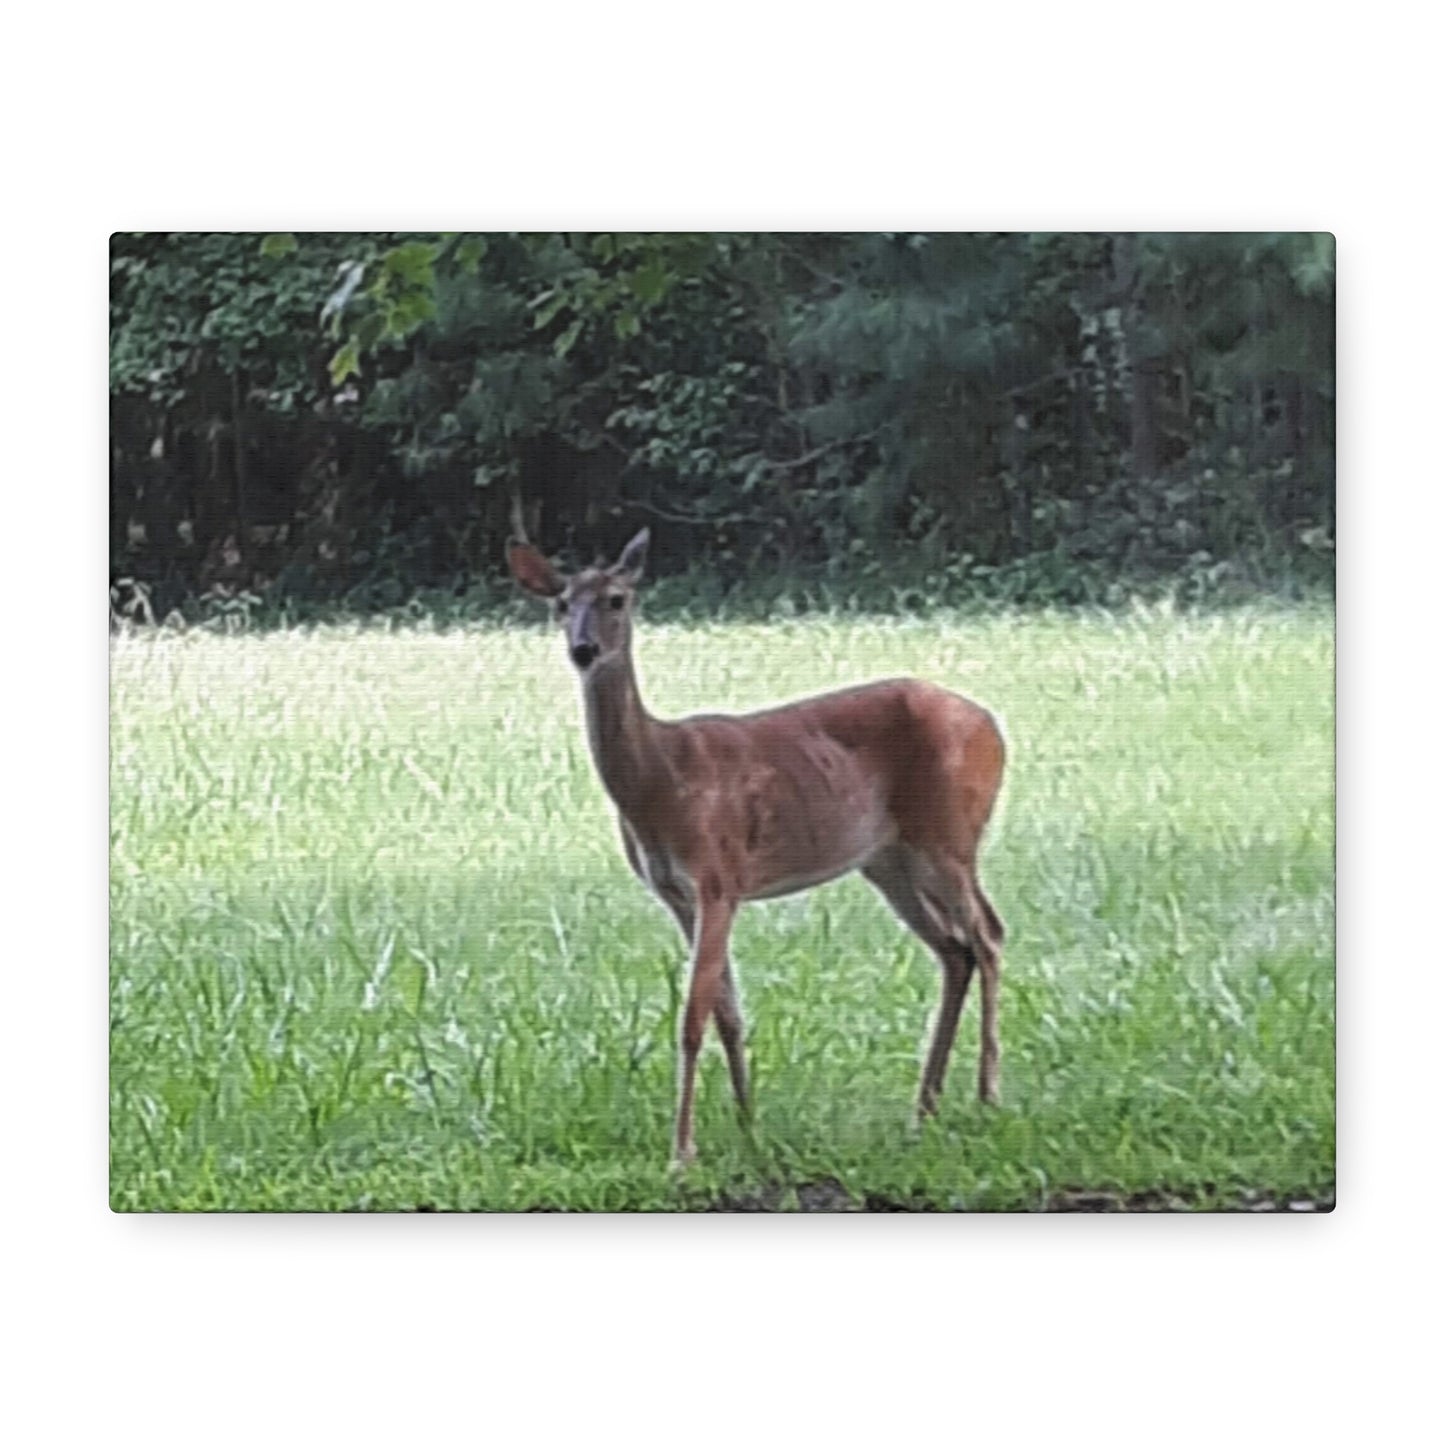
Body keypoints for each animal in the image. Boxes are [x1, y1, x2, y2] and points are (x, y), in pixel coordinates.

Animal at [507, 527, 1007, 1164]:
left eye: (618, 598)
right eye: (561, 604)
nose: (584, 649)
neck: (659, 779)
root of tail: (995, 727)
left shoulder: (718, 877)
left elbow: (693, 1015)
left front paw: (682, 1151)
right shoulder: (677, 894)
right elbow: (727, 1013)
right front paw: (748, 1124)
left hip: (950, 835)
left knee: (988, 936)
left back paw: (987, 1095)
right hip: (888, 860)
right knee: (954, 950)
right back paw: (923, 1109)